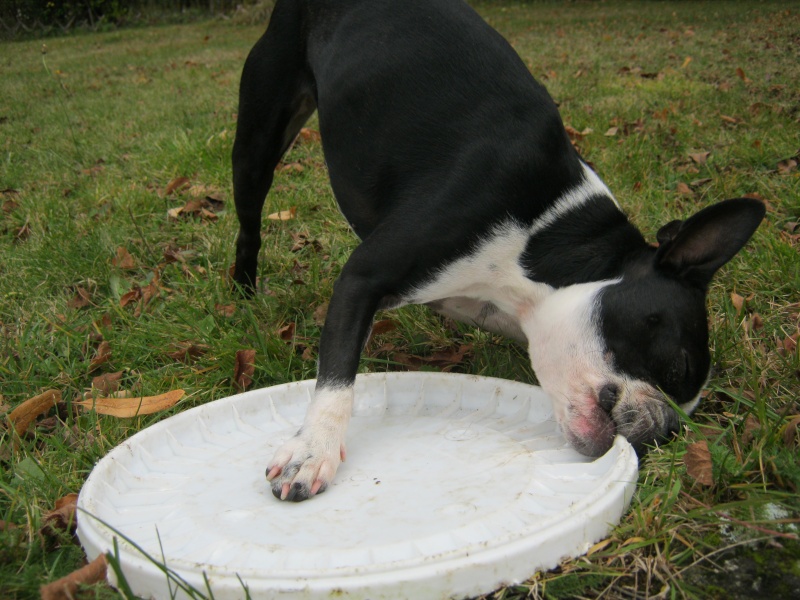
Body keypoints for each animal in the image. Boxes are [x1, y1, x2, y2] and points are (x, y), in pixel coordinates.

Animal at [230, 0, 764, 502]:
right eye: (676, 367)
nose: (664, 432)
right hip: (259, 136)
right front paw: (313, 448)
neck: (542, 243)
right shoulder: (364, 277)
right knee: (249, 223)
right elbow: (338, 379)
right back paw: (243, 291)